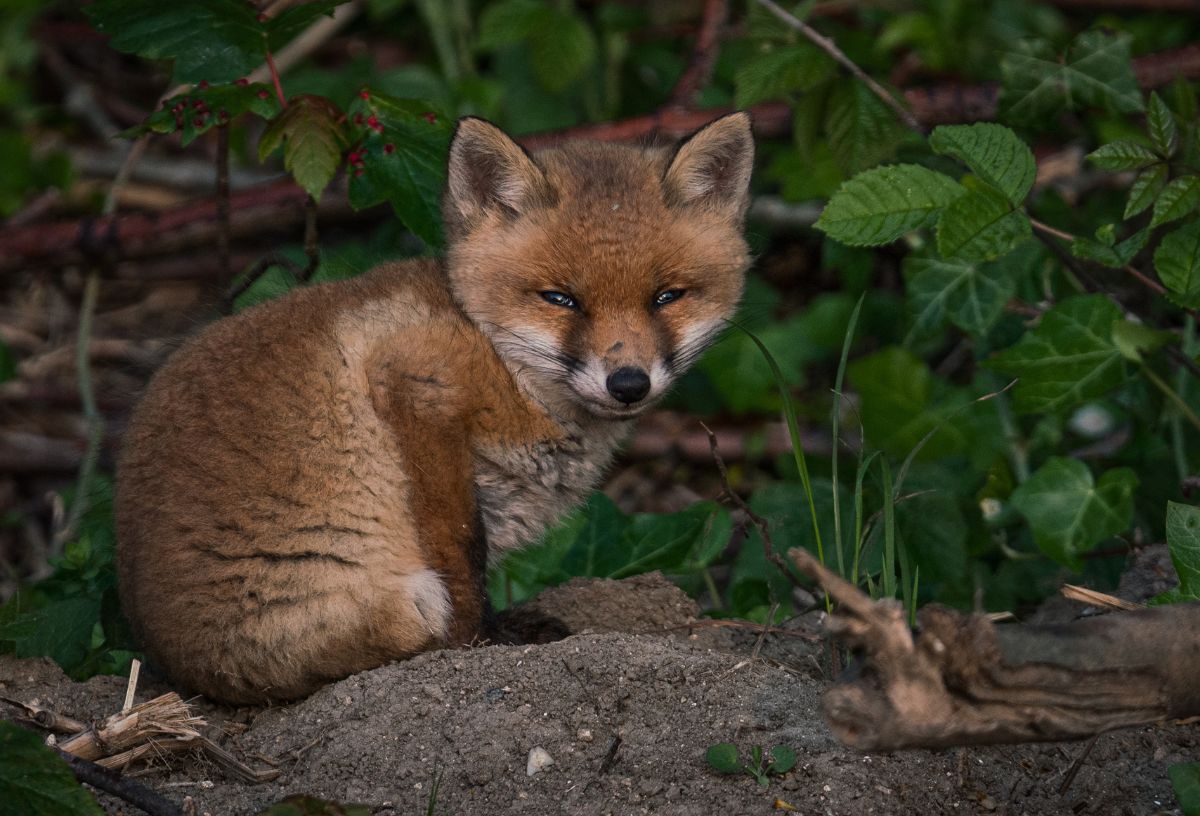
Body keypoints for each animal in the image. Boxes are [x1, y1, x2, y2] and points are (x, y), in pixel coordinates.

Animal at [112, 111, 748, 705]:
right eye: (561, 299)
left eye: (666, 297)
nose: (628, 384)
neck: (499, 360)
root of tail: (174, 665)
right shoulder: (415, 385)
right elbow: (463, 555)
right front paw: (483, 645)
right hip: (403, 600)